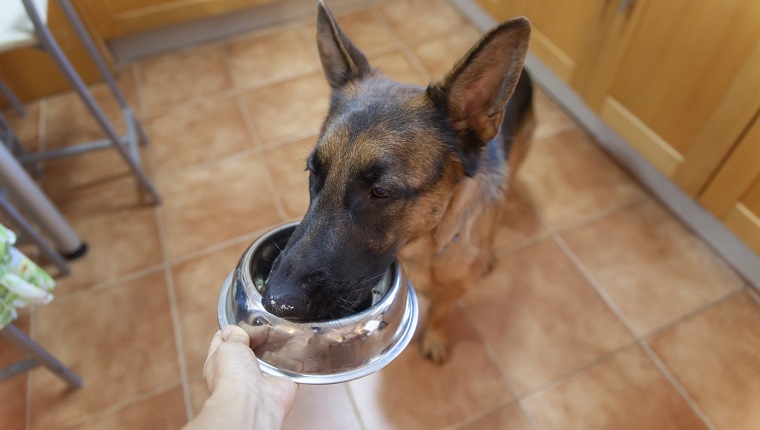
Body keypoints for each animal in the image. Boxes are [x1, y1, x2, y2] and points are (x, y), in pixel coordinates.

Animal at [264, 1, 532, 362]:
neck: (425, 247)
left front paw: (434, 335)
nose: (275, 302)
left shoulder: (455, 287)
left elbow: (441, 310)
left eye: (380, 192)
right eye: (313, 172)